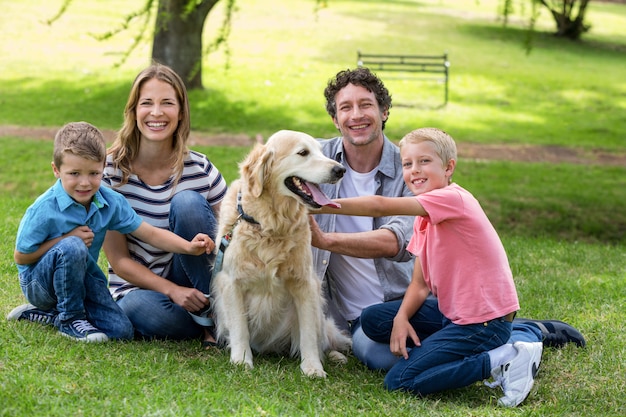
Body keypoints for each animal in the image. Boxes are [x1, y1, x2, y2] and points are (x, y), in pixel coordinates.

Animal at [211, 128, 352, 376]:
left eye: (320, 151)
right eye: (303, 153)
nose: (340, 170)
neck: (270, 224)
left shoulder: (305, 282)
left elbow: (308, 333)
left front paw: (313, 368)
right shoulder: (231, 281)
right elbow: (239, 327)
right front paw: (242, 360)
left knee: (323, 337)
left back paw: (335, 356)